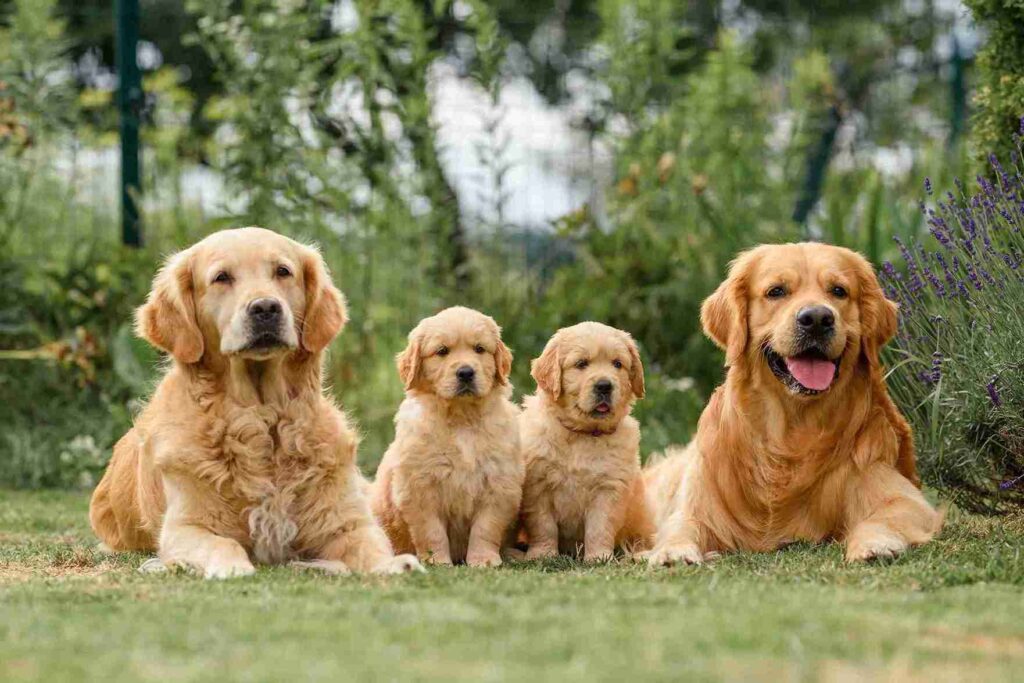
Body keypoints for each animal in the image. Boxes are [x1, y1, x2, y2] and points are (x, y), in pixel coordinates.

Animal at [372, 307, 524, 569]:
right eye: (442, 351)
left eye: (479, 349)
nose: (466, 372)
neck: (462, 418)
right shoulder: (420, 486)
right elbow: (432, 531)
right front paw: (437, 561)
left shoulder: (499, 483)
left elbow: (486, 528)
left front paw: (483, 559)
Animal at [520, 323, 655, 565]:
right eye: (581, 364)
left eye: (617, 364)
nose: (604, 386)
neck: (581, 434)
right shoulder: (538, 487)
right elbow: (543, 525)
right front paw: (542, 554)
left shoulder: (608, 489)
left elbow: (599, 526)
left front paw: (598, 557)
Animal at [647, 242, 942, 565]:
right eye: (776, 291)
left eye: (838, 291)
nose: (817, 319)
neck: (793, 430)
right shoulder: (699, 502)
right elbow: (683, 524)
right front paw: (673, 550)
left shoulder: (902, 495)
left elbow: (881, 516)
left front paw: (874, 544)